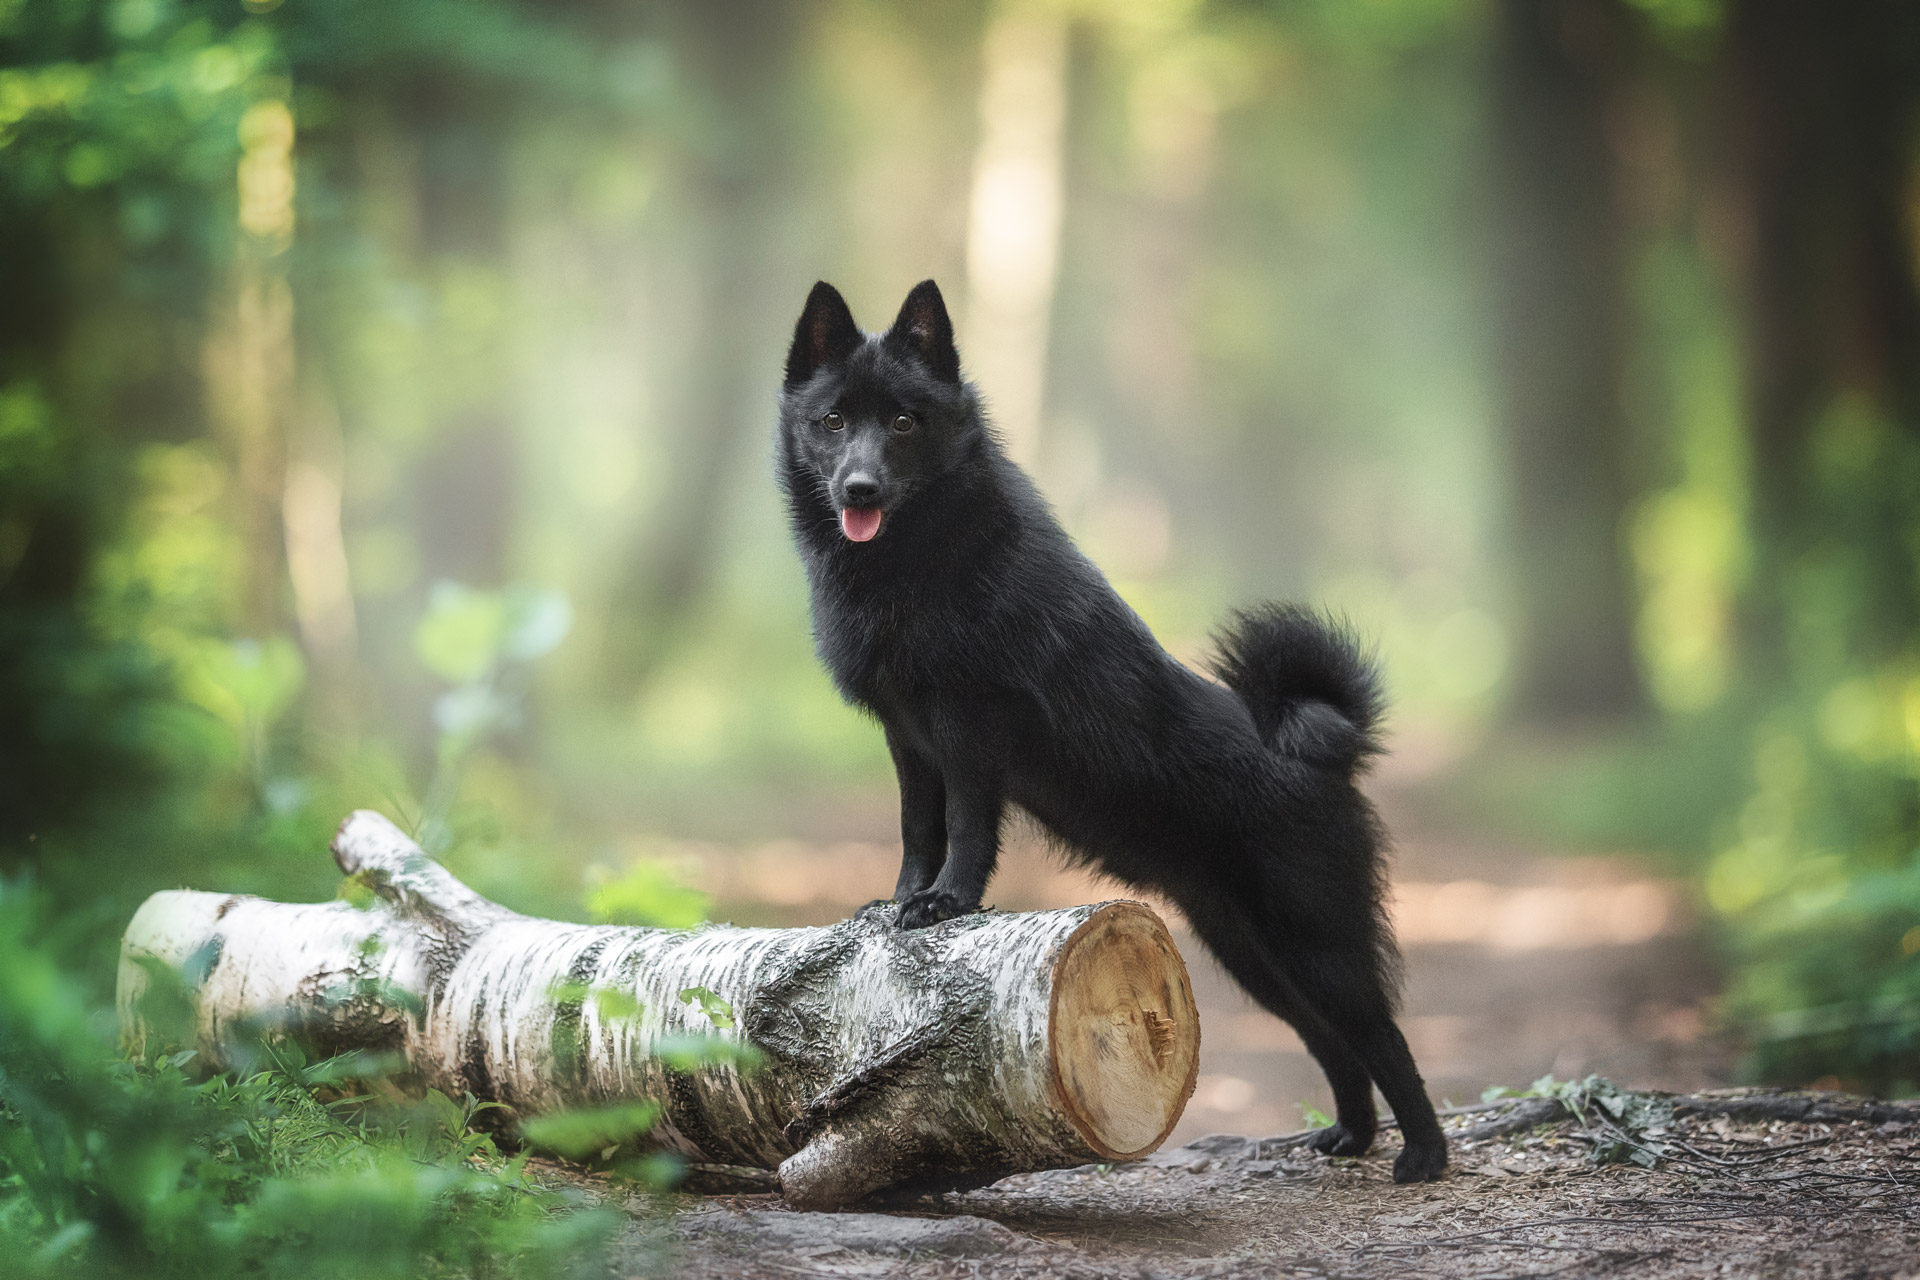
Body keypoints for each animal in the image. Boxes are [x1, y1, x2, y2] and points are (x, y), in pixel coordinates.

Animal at [771, 278, 1443, 1182]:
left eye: (905, 422)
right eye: (834, 421)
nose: (860, 490)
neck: (919, 559)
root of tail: (1318, 754)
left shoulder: (970, 729)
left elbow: (967, 828)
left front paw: (947, 903)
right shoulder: (909, 738)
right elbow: (919, 827)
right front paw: (903, 899)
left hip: (1318, 941)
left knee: (1383, 1036)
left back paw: (1426, 1154)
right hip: (1254, 956)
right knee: (1332, 1042)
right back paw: (1352, 1136)